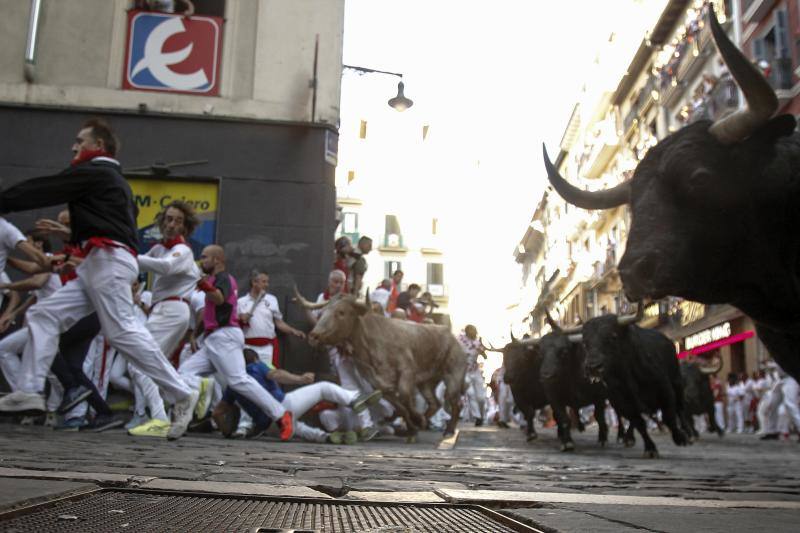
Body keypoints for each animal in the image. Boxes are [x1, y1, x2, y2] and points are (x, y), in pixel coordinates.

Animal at [296, 288, 466, 438]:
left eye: (341, 312)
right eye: (322, 312)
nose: (314, 336)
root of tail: (449, 334)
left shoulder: (407, 372)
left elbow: (405, 397)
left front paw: (416, 420)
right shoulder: (380, 386)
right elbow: (401, 407)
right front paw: (412, 427)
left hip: (453, 375)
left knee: (455, 403)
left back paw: (448, 430)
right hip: (427, 382)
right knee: (434, 403)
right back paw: (423, 422)